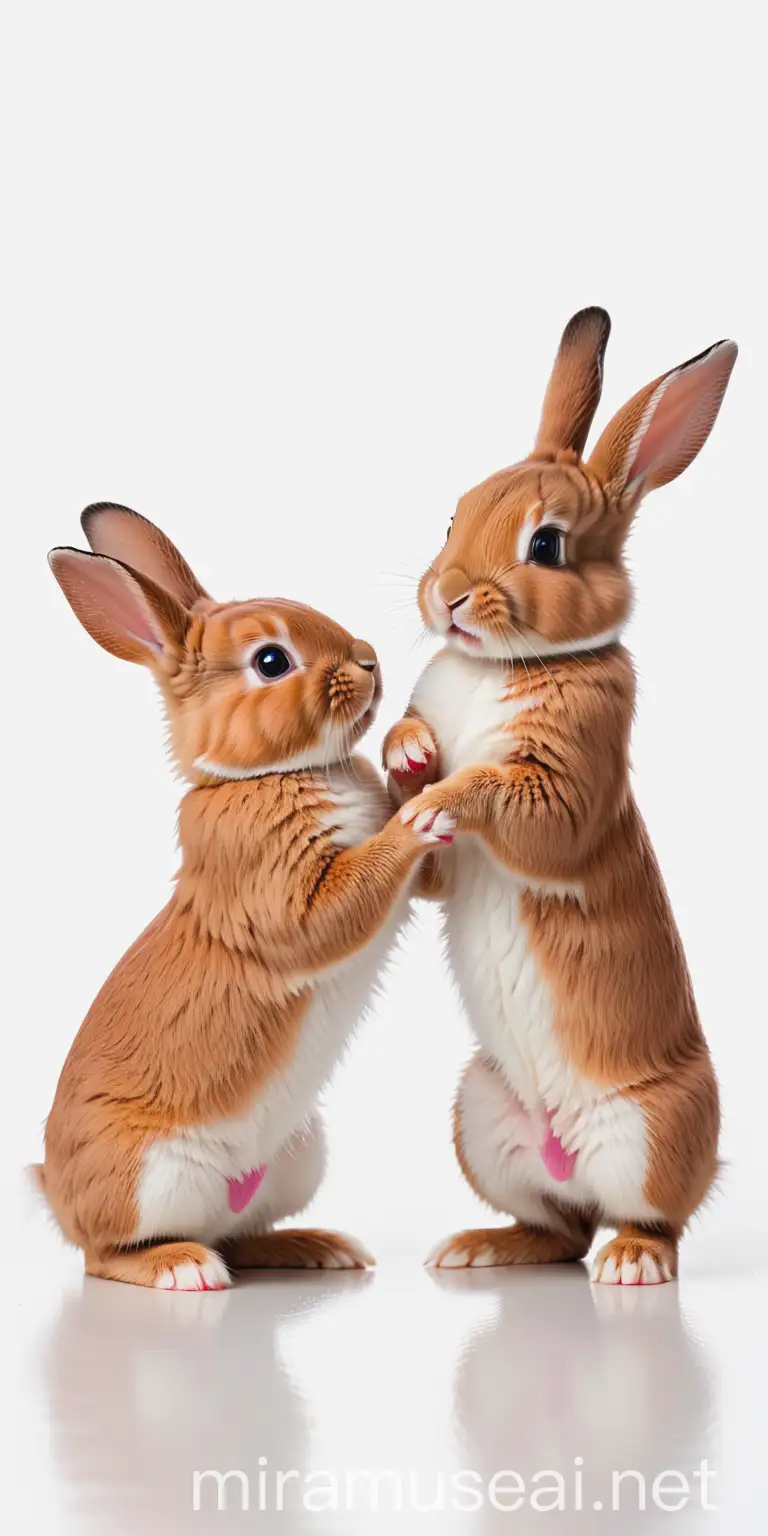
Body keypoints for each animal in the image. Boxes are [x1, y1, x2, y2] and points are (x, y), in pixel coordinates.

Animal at [37, 503, 454, 1284]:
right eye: (270, 662)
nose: (369, 660)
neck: (270, 773)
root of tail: (55, 1194)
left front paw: (411, 748)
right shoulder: (283, 898)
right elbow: (352, 896)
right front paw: (416, 821)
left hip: (297, 1158)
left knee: (239, 1234)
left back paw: (320, 1247)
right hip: (144, 1176)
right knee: (109, 1254)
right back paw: (181, 1269)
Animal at [387, 308, 734, 1284]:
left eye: (545, 545)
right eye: (456, 511)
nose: (448, 596)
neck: (503, 664)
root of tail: (562, 1149)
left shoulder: (567, 786)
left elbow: (518, 806)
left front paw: (441, 798)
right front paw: (412, 754)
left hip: (652, 1129)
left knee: (644, 1220)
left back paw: (633, 1264)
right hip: (481, 1116)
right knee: (556, 1230)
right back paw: (475, 1249)